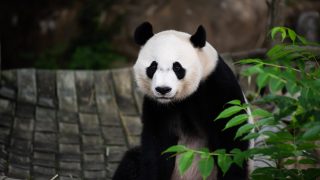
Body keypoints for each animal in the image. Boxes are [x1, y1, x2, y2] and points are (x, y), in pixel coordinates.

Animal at [112, 22, 250, 180]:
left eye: (177, 67)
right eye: (153, 66)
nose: (163, 89)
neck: (181, 98)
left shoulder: (217, 88)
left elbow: (230, 140)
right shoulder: (157, 106)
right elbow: (157, 146)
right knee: (131, 161)